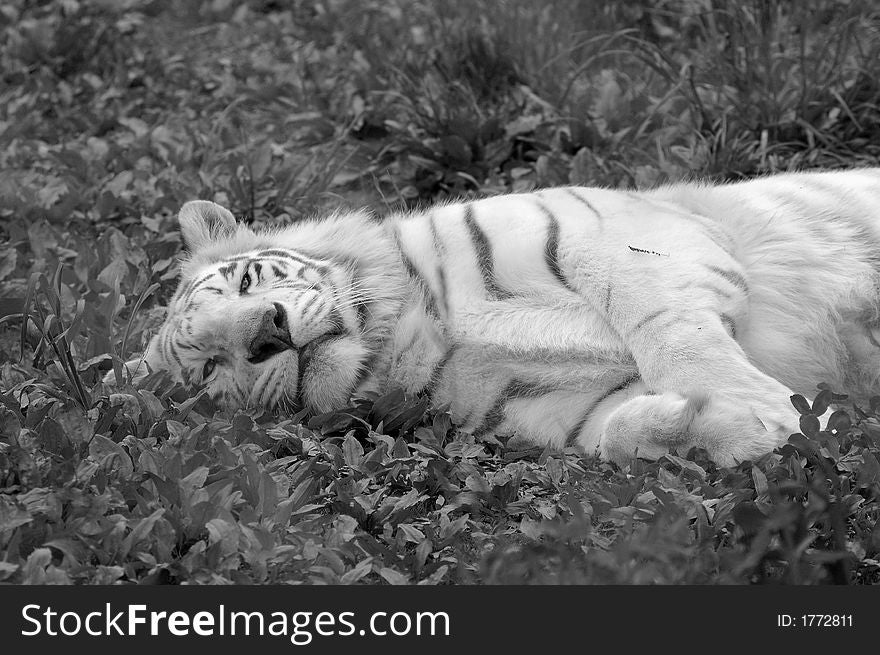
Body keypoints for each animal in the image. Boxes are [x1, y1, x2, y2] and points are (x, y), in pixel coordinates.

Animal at [110, 169, 880, 466]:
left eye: (247, 279)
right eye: (209, 368)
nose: (266, 330)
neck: (410, 339)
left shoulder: (612, 233)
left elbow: (668, 326)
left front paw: (771, 408)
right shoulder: (571, 409)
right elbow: (619, 434)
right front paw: (772, 425)